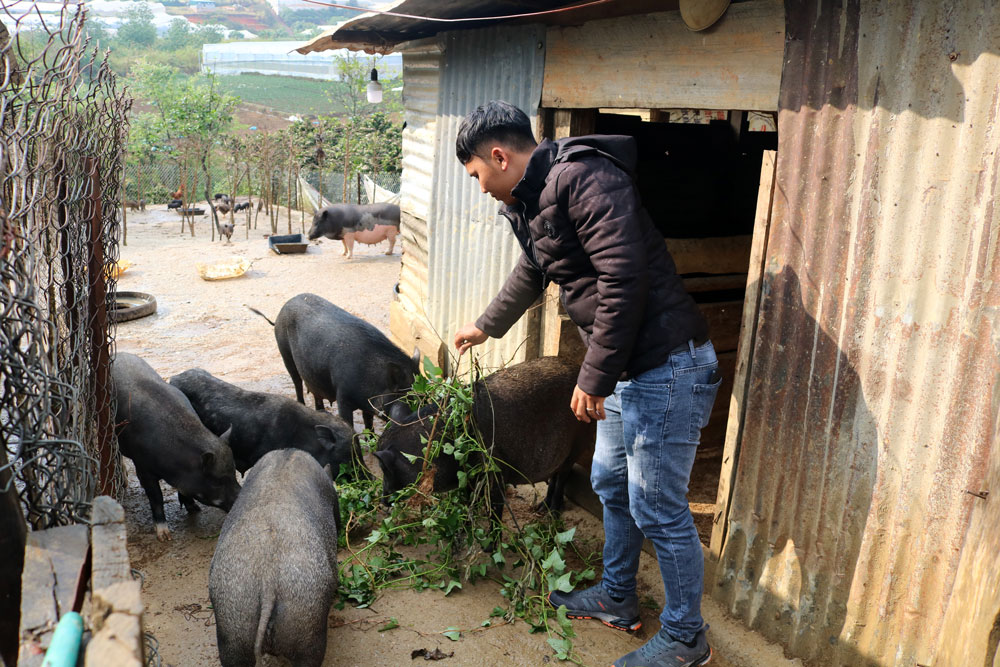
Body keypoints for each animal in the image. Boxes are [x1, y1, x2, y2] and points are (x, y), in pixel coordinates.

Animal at [112, 352, 242, 540]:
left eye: (233, 472)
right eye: (217, 481)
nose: (241, 497)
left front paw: (195, 509)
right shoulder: (142, 466)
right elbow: (156, 497)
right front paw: (164, 537)